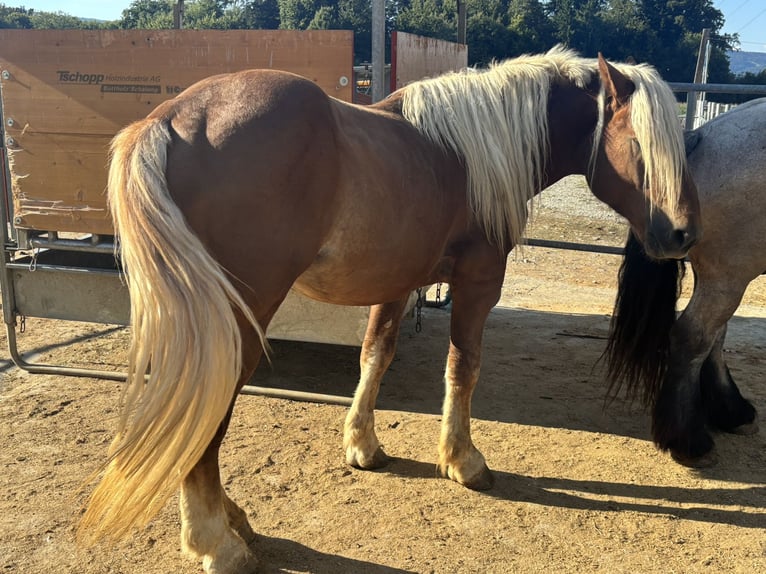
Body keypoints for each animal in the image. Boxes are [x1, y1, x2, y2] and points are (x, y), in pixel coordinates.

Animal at [78, 47, 700, 573]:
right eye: (641, 146)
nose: (682, 236)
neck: (473, 151)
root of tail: (170, 120)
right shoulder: (479, 283)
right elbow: (463, 366)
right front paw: (462, 460)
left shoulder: (396, 284)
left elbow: (375, 356)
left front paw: (362, 446)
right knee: (208, 415)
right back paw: (216, 542)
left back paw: (232, 521)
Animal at [605, 97, 765, 468]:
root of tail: (704, 136)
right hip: (728, 276)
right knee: (693, 337)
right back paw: (689, 441)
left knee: (714, 338)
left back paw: (732, 413)